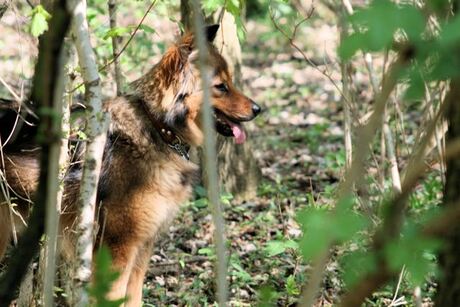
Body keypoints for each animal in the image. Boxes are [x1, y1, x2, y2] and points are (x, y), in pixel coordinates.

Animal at [0, 24, 258, 306]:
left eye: (230, 81)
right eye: (221, 86)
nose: (258, 109)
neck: (159, 129)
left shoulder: (142, 247)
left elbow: (134, 297)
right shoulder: (118, 248)